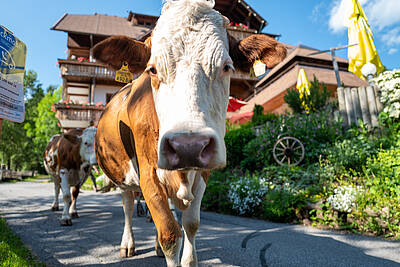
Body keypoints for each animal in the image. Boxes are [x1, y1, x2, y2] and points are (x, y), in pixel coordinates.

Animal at [92, 1, 286, 266]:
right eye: (152, 69)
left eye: (227, 67)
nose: (188, 146)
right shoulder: (148, 173)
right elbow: (169, 233)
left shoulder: (203, 172)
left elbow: (190, 224)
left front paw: (188, 257)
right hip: (122, 176)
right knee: (129, 207)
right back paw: (128, 244)